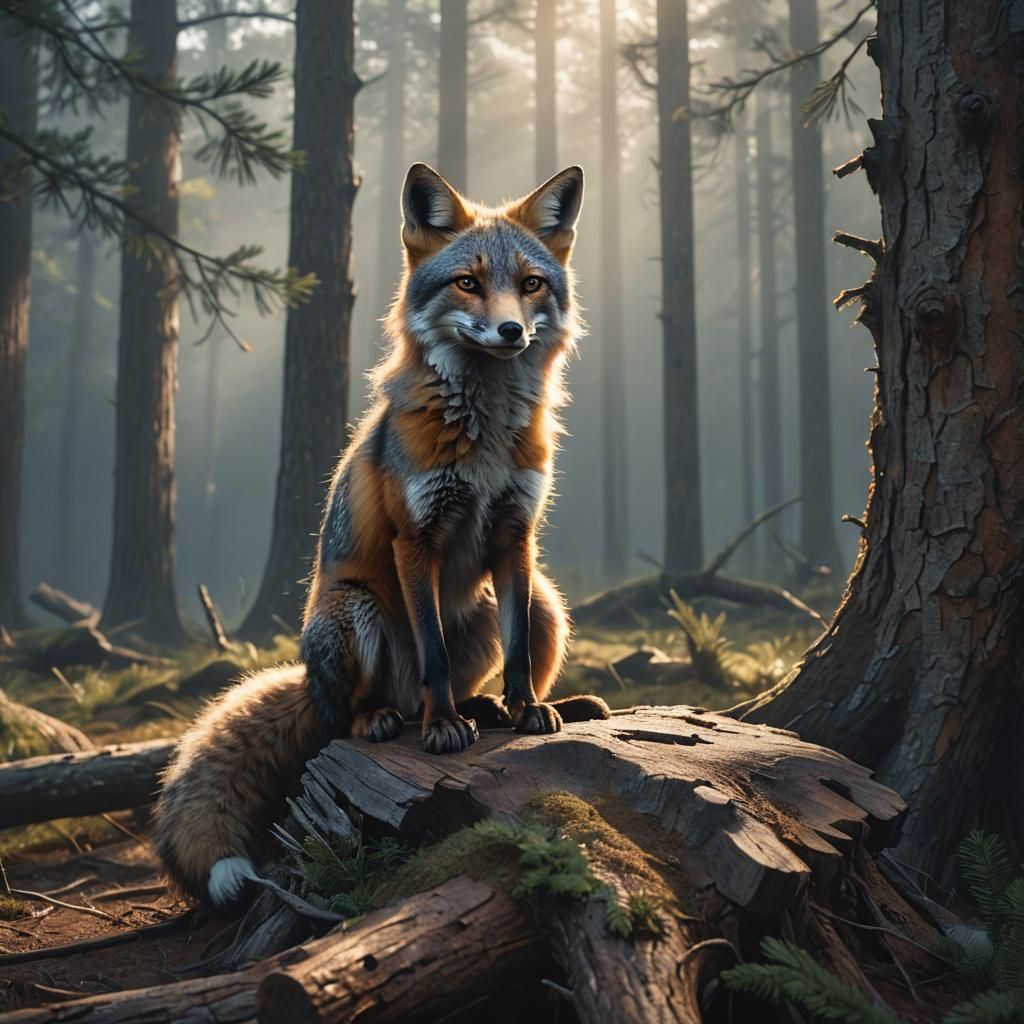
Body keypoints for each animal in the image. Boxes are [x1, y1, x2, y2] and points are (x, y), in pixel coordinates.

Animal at [153, 163, 610, 907]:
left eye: (531, 283)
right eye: (468, 282)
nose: (511, 330)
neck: (484, 433)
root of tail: (308, 680)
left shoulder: (516, 536)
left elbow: (514, 654)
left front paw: (525, 710)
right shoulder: (414, 539)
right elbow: (431, 654)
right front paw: (442, 729)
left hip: (546, 602)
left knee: (498, 658)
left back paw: (506, 707)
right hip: (357, 611)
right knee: (354, 715)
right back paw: (395, 719)